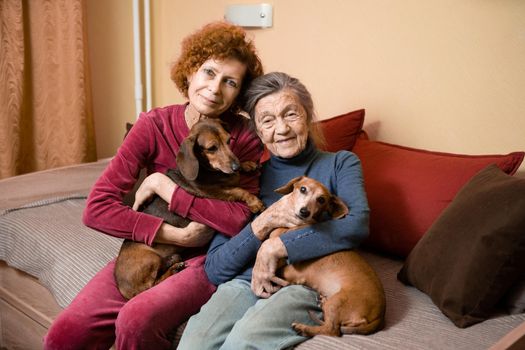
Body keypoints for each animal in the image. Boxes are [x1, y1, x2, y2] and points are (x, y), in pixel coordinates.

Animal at [114, 119, 262, 300]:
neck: (209, 170)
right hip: (151, 258)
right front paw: (255, 202)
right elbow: (239, 190)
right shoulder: (212, 193)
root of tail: (123, 289)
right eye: (212, 148)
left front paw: (248, 164)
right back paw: (174, 268)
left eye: (228, 141)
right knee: (153, 284)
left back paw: (173, 261)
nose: (235, 167)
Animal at [266, 176, 384, 338]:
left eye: (321, 199)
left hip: (336, 303)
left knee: (331, 330)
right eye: (303, 189)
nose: (304, 212)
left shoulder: (291, 271)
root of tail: (380, 315)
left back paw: (303, 328)